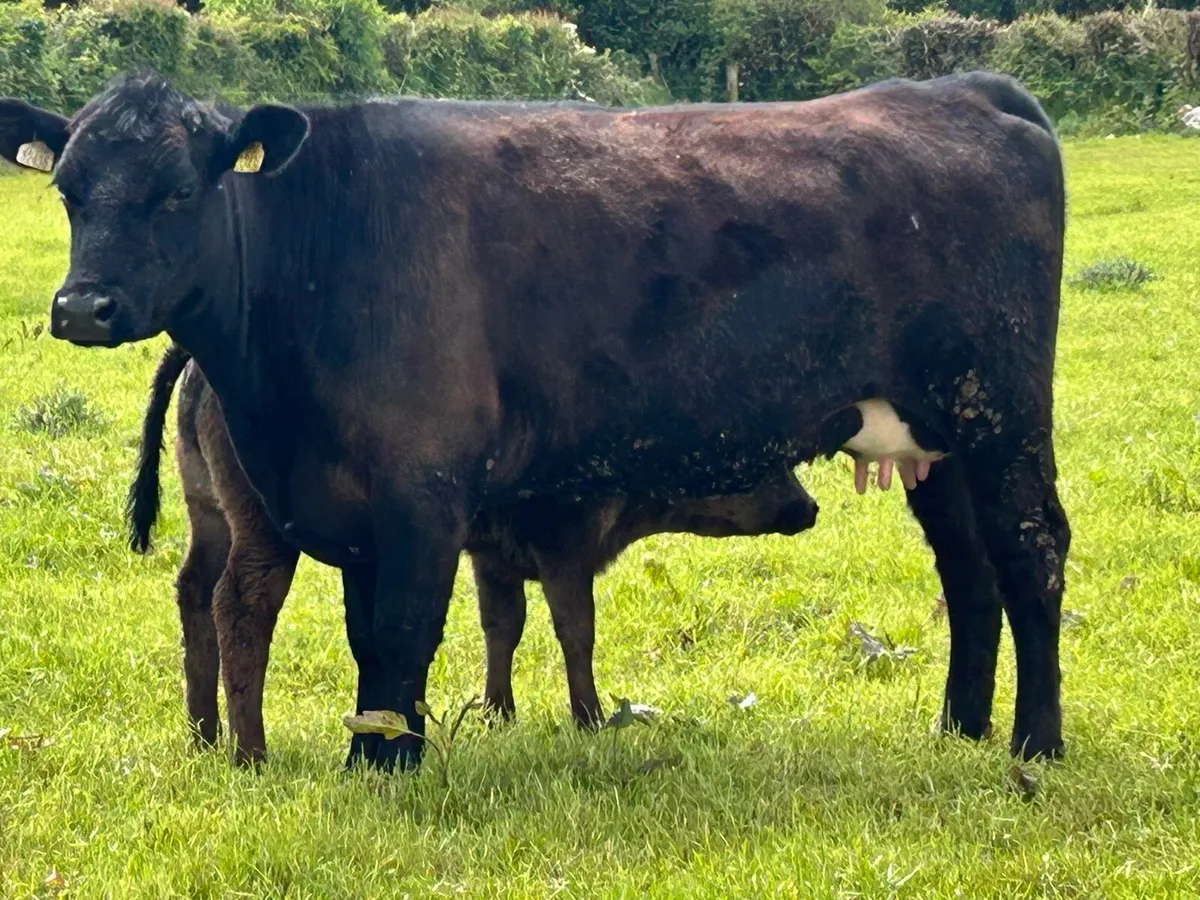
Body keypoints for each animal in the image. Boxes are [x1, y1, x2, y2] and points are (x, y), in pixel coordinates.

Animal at [128, 344, 820, 759]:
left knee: (193, 594)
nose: (807, 508)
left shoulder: (493, 558)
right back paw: (250, 751)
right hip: (263, 534)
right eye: (762, 456)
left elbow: (502, 627)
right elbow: (575, 631)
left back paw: (203, 734)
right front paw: (589, 717)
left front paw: (497, 711)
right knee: (240, 607)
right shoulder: (564, 551)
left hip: (210, 517)